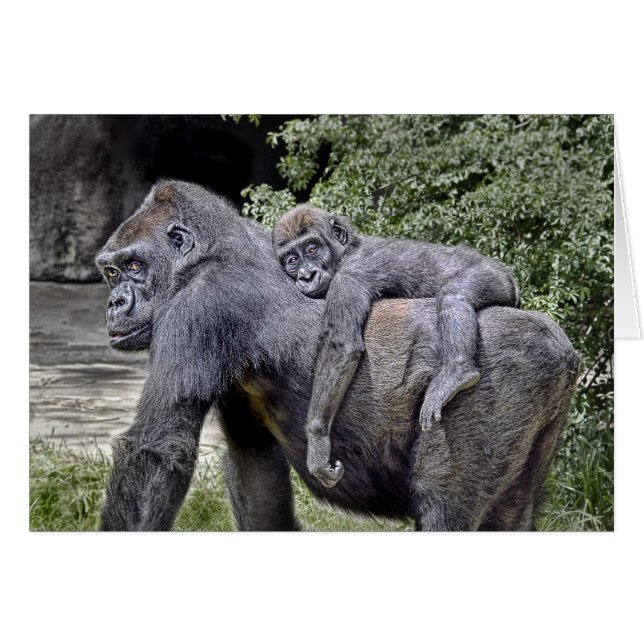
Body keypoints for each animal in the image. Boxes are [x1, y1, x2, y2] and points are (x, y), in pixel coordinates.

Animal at [272, 204, 520, 487]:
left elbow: (342, 346)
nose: (306, 275)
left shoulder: (349, 277)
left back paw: (458, 373)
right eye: (292, 260)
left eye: (312, 248)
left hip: (494, 276)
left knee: (454, 294)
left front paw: (317, 440)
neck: (347, 250)